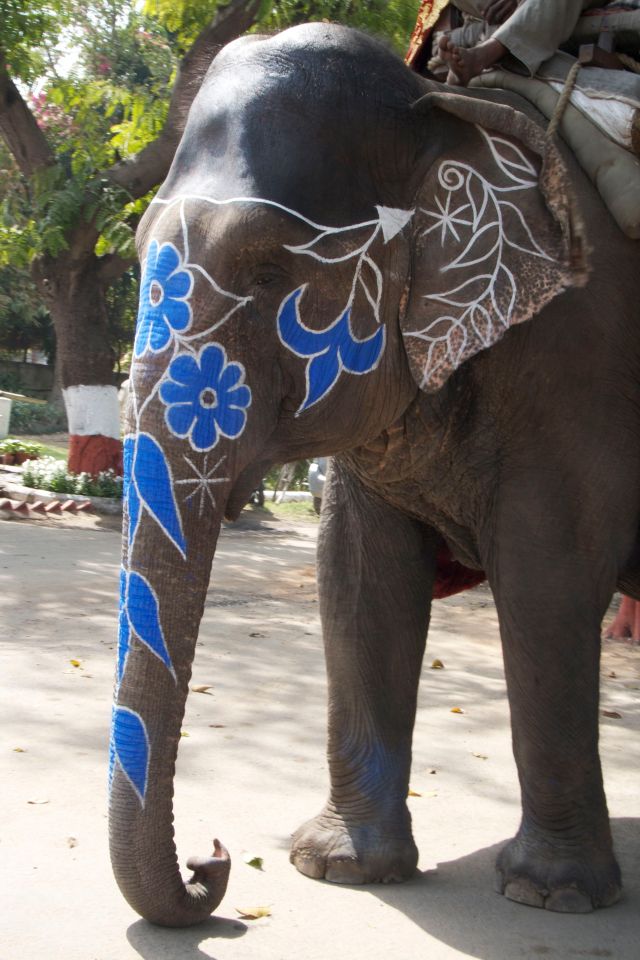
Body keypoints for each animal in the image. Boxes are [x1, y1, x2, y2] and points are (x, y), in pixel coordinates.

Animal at [108, 21, 640, 927]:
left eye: (268, 273)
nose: (210, 861)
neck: (442, 110)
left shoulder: (583, 361)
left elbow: (548, 577)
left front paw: (551, 894)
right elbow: (358, 576)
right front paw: (339, 867)